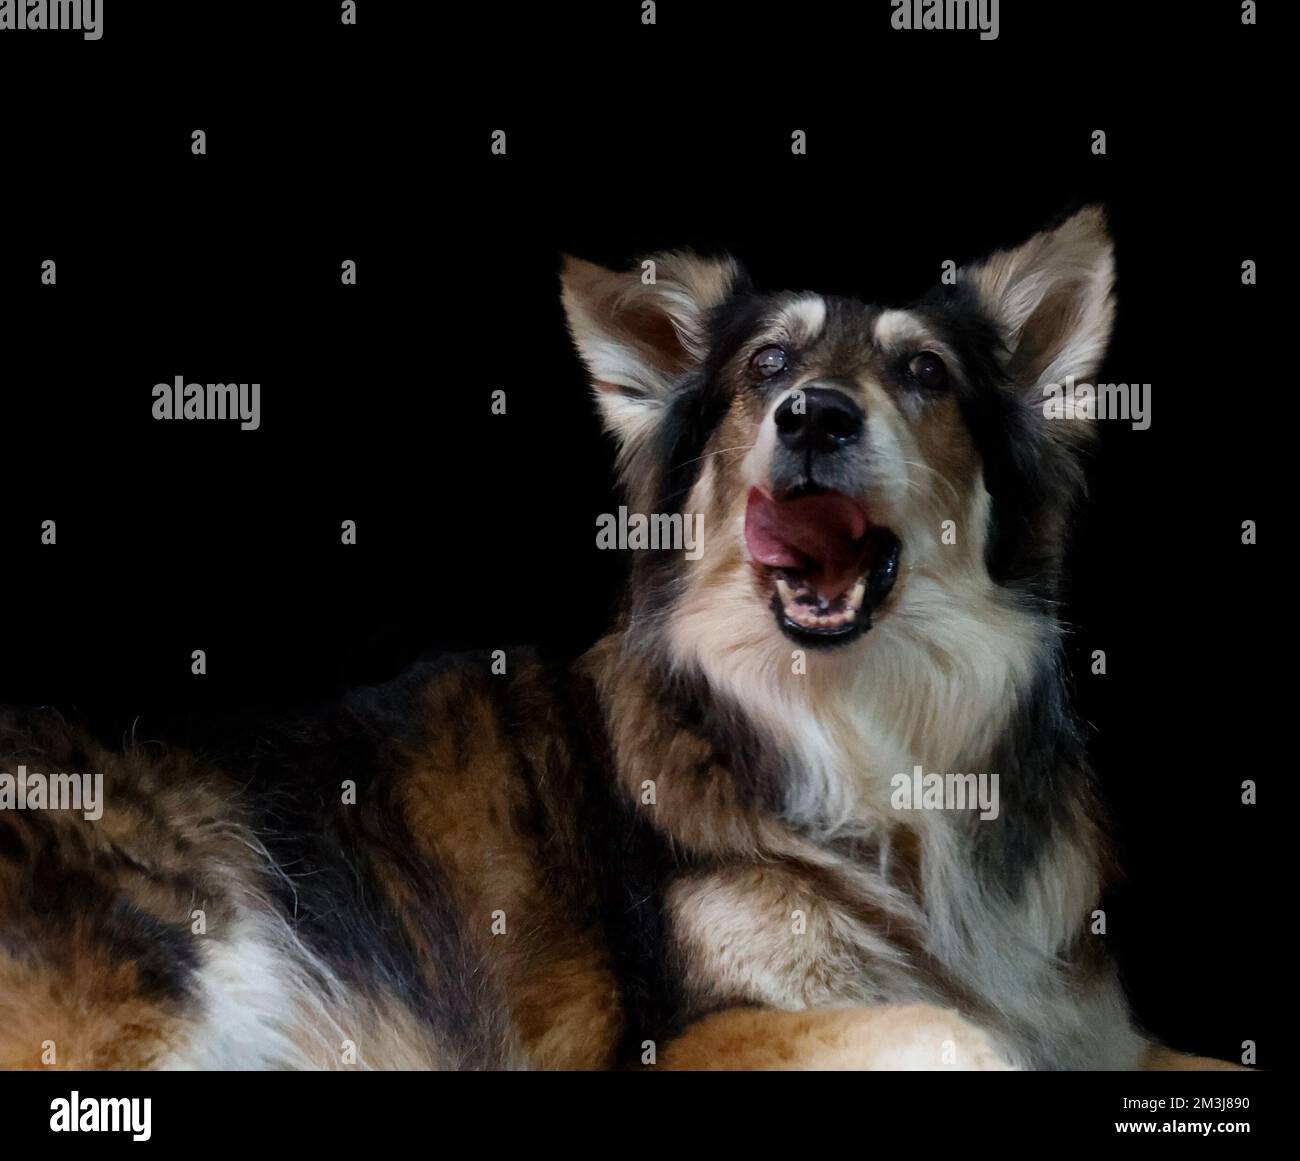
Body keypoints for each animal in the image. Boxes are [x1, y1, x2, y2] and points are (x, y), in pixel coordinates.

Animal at [0, 208, 1227, 1071]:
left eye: (924, 371)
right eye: (766, 370)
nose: (815, 416)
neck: (861, 730)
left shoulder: (1094, 1022)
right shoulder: (683, 1037)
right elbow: (956, 1029)